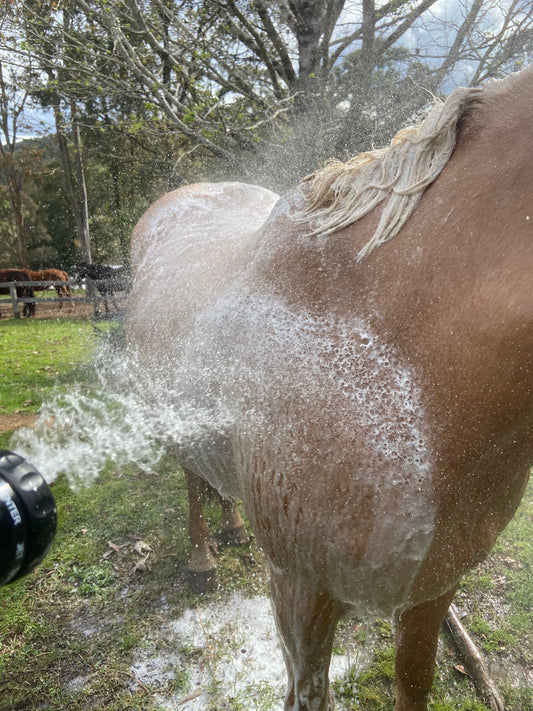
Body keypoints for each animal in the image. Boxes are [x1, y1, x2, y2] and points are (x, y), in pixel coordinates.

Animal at [125, 64, 532, 708]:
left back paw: (233, 528)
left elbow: (414, 682)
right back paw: (203, 560)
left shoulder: (431, 590)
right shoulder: (301, 594)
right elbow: (308, 694)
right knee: (191, 478)